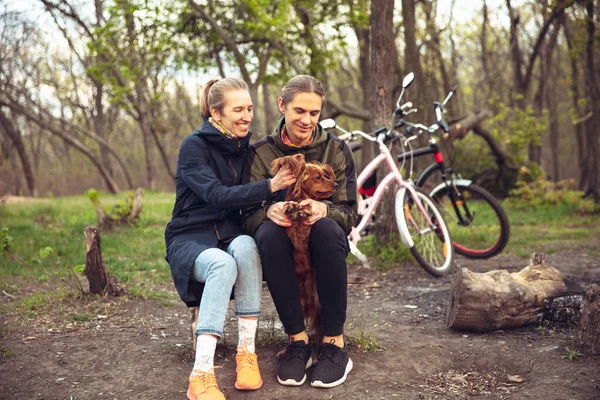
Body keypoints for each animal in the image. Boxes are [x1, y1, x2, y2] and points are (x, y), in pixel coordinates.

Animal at [270, 154, 338, 344]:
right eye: (319, 177)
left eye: (326, 175)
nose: (336, 184)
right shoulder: (290, 232)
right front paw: (293, 207)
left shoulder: (308, 233)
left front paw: (304, 209)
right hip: (298, 302)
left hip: (319, 301)